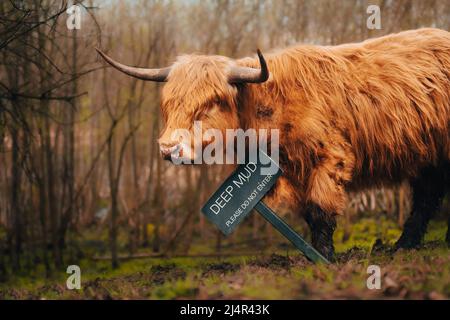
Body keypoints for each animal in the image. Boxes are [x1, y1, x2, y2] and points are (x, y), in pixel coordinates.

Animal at [97, 28, 450, 262]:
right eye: (168, 104)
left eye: (211, 102)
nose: (169, 149)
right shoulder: (292, 171)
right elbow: (308, 213)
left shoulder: (327, 158)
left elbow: (320, 210)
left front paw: (324, 258)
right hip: (430, 155)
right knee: (427, 195)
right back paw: (406, 244)